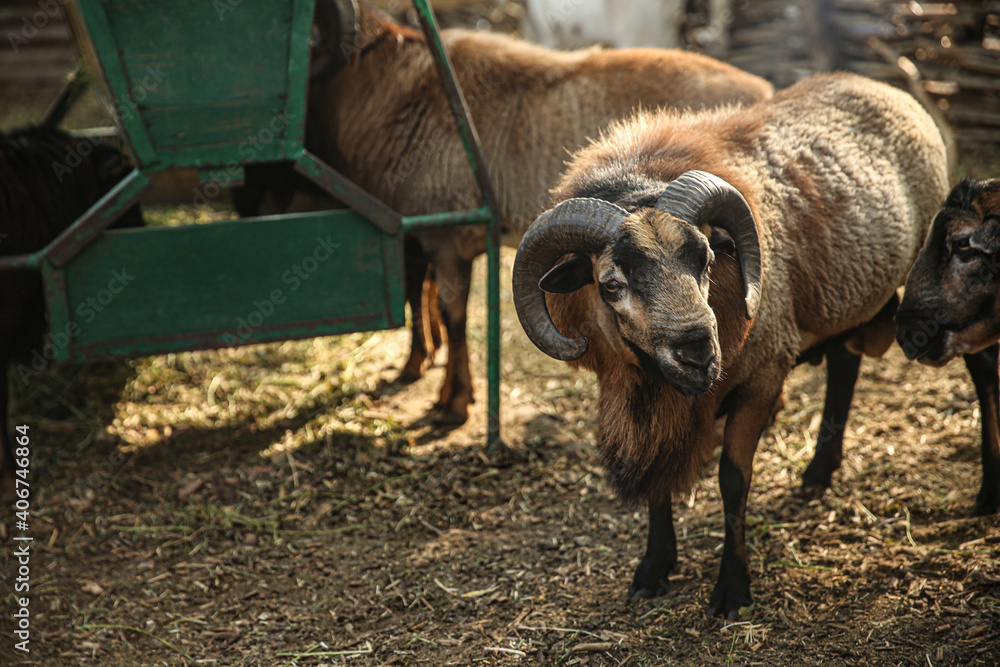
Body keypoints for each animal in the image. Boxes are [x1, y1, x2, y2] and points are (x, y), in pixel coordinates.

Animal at [297, 0, 774, 423]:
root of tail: (763, 90)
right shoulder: (412, 228)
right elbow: (420, 292)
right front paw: (417, 367)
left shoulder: (446, 235)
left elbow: (453, 313)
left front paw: (453, 403)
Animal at [512, 72, 949, 617]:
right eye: (610, 284)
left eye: (705, 259)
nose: (698, 351)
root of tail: (881, 85)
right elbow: (659, 479)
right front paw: (653, 570)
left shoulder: (761, 378)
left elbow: (733, 482)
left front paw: (732, 589)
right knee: (845, 365)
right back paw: (818, 472)